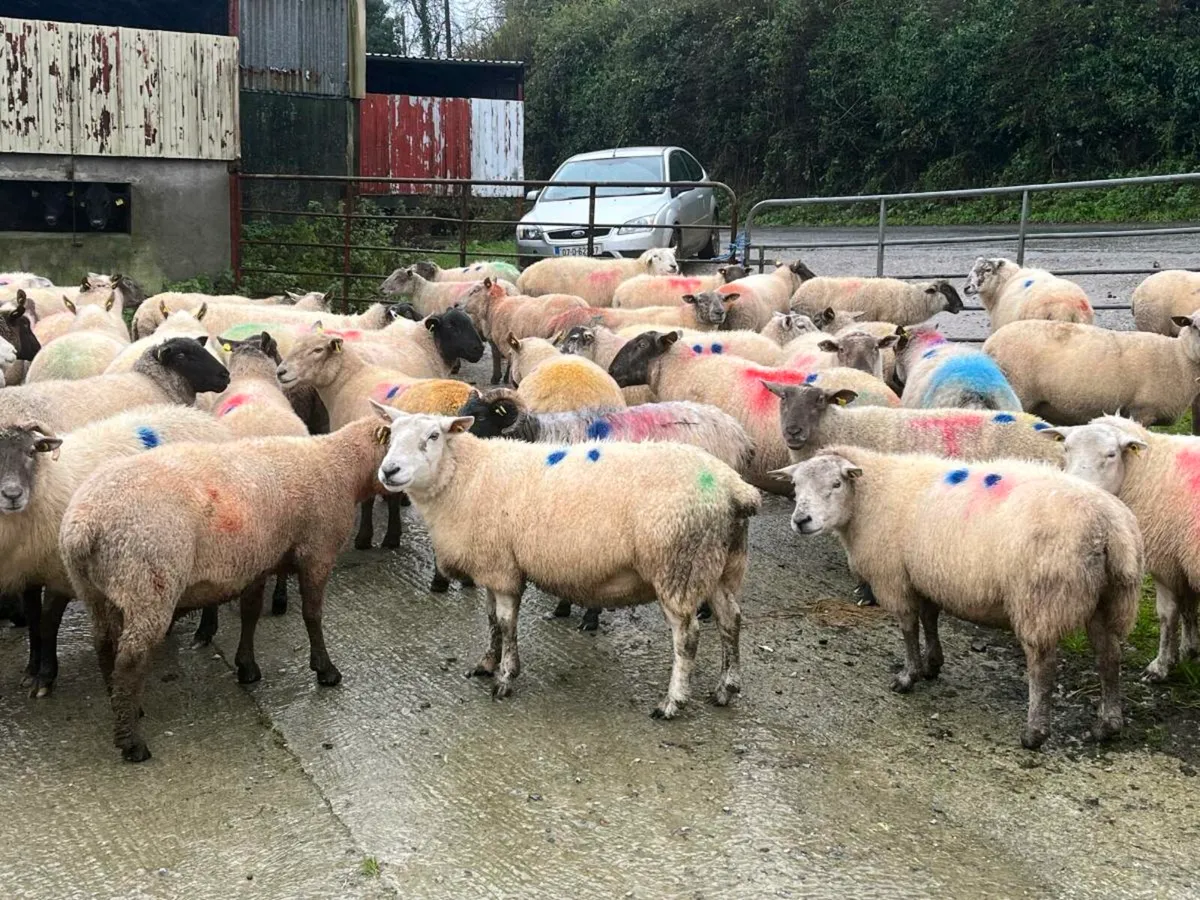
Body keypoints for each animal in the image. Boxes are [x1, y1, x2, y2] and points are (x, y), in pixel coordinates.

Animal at [0, 406, 232, 696]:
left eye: (31, 451)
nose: (12, 495)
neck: (48, 482)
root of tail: (201, 416)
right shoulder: (29, 570)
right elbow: (33, 622)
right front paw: (31, 670)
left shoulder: (60, 573)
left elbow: (47, 624)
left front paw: (45, 677)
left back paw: (204, 632)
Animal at [59, 414, 395, 762]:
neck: (340, 465)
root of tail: (83, 527)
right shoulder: (317, 552)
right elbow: (312, 616)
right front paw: (325, 670)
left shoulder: (258, 561)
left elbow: (251, 613)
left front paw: (247, 667)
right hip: (147, 583)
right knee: (130, 659)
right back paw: (132, 743)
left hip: (97, 590)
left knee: (104, 645)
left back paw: (121, 705)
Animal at [374, 406, 760, 717]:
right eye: (391, 434)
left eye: (433, 436)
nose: (389, 471)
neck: (466, 476)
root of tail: (735, 488)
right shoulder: (492, 565)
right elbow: (491, 621)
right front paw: (487, 663)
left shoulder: (502, 570)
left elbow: (506, 624)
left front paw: (505, 677)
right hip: (718, 565)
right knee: (731, 620)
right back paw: (726, 688)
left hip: (677, 566)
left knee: (688, 637)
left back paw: (672, 703)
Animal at [778, 445, 1141, 748]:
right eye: (795, 486)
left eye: (836, 484)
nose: (801, 520)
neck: (870, 496)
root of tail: (1109, 527)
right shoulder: (925, 575)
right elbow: (929, 619)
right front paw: (932, 664)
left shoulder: (893, 577)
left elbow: (908, 626)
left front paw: (908, 676)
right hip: (1110, 599)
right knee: (1109, 657)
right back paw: (1107, 726)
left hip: (1040, 598)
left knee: (1043, 666)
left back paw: (1034, 733)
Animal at [1053, 416, 1200, 683]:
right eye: (1066, 448)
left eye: (1111, 454)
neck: (1148, 469)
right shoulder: (1182, 560)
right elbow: (1189, 607)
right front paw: (1189, 651)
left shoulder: (1165, 560)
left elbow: (1168, 614)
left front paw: (1160, 666)